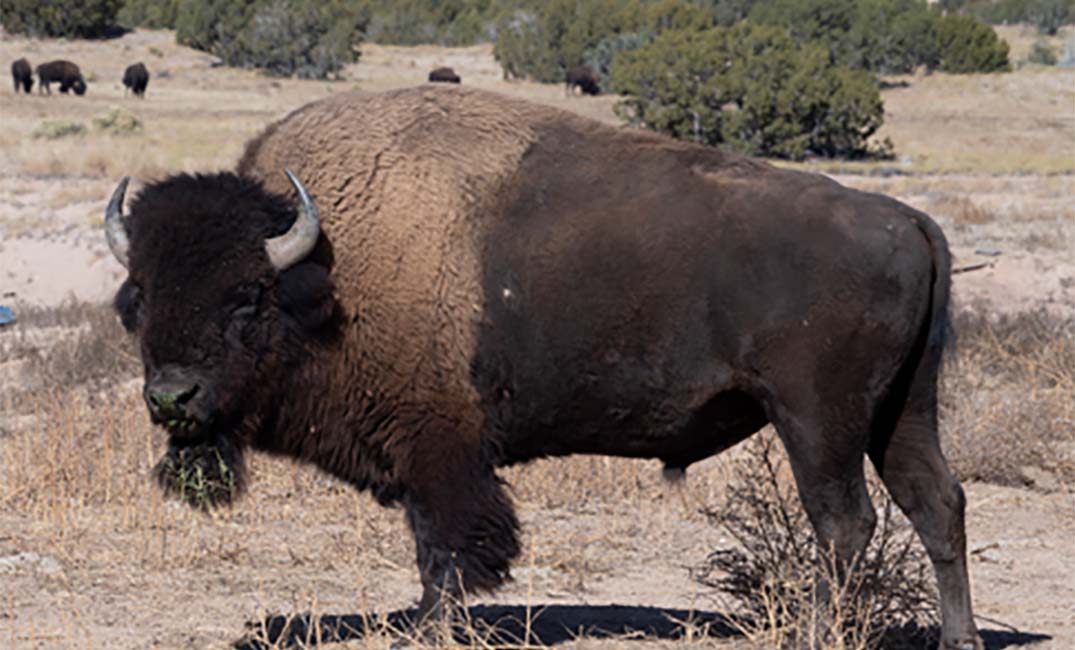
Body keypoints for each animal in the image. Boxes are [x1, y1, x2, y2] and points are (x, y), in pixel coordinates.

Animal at [103, 87, 982, 650]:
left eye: (247, 297)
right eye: (139, 296)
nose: (171, 398)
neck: (329, 269)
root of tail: (910, 221)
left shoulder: (440, 449)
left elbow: (448, 548)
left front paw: (431, 631)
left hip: (816, 419)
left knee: (844, 523)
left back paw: (815, 635)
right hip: (902, 410)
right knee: (935, 504)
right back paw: (958, 640)